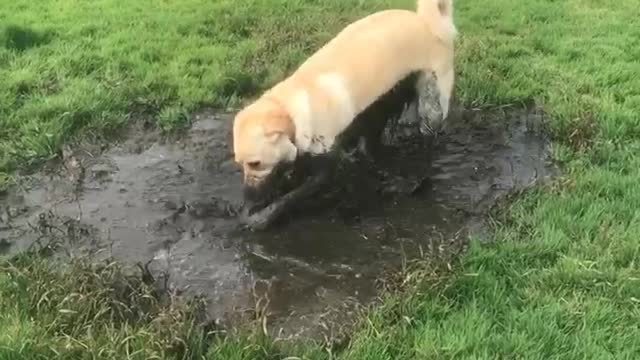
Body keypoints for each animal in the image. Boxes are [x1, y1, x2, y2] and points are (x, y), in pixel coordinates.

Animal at [234, 0, 456, 229]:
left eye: (255, 163)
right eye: (239, 163)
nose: (248, 198)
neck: (291, 110)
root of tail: (426, 22)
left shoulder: (326, 162)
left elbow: (295, 194)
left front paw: (264, 216)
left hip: (431, 102)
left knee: (427, 144)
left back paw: (412, 182)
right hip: (382, 100)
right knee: (373, 138)